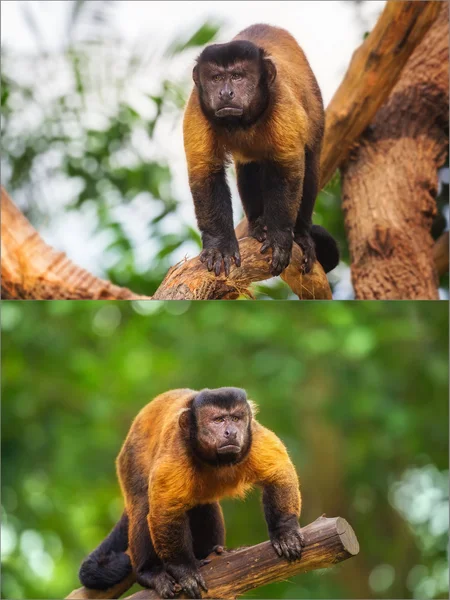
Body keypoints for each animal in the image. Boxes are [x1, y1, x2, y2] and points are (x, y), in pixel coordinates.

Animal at [79, 386, 304, 596]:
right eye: (218, 420)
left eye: (236, 418)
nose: (231, 432)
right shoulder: (177, 450)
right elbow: (164, 510)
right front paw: (184, 570)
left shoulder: (254, 437)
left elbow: (278, 474)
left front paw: (284, 532)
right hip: (129, 462)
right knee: (143, 503)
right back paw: (149, 572)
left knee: (203, 505)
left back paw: (209, 552)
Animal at [182, 22, 338, 276]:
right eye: (216, 78)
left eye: (237, 76)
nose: (225, 93)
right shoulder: (196, 107)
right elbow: (205, 172)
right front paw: (219, 245)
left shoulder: (281, 101)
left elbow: (288, 170)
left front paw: (279, 237)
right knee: (248, 168)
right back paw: (257, 224)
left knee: (310, 167)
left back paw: (302, 234)